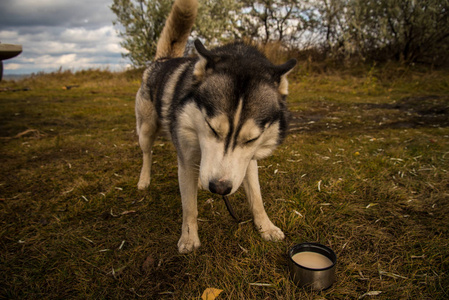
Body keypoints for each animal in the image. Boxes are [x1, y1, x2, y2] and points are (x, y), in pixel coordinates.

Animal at [136, 0, 298, 253]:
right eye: (212, 129)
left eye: (251, 139)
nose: (220, 189)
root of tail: (162, 61)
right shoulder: (186, 157)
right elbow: (189, 206)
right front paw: (189, 238)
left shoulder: (246, 161)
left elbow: (257, 197)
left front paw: (266, 227)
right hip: (145, 129)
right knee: (146, 153)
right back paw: (144, 180)